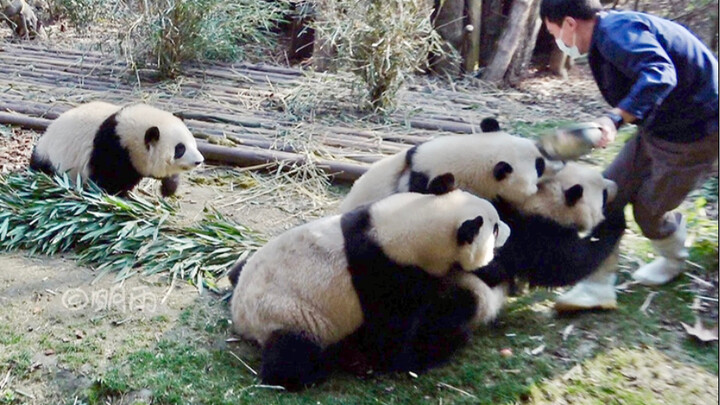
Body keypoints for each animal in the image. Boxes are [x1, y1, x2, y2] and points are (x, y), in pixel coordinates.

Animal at [29, 101, 204, 196]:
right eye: (180, 149)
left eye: (193, 142)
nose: (199, 161)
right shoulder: (112, 148)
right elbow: (107, 179)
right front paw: (120, 197)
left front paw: (168, 188)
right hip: (52, 157)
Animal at [229, 175, 510, 390]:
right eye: (495, 228)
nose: (508, 232)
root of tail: (240, 317)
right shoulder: (386, 274)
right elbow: (390, 341)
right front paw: (436, 348)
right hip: (287, 314)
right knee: (292, 357)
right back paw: (318, 367)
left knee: (238, 271)